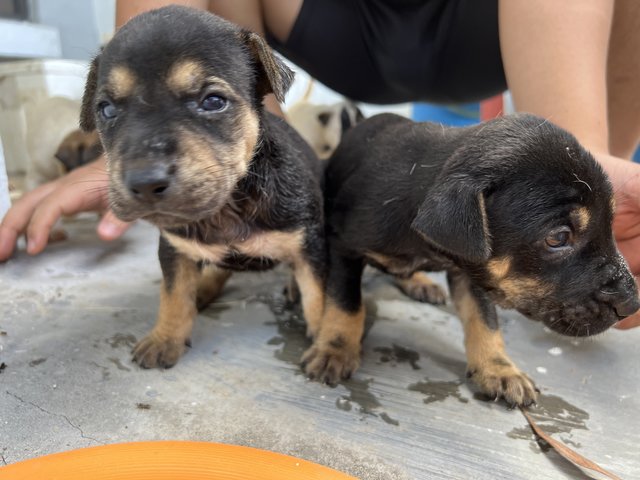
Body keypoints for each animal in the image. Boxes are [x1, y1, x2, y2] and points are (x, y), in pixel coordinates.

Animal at [80, 4, 328, 368]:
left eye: (213, 102)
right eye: (107, 110)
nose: (145, 182)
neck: (229, 205)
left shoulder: (310, 243)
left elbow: (318, 295)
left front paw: (330, 339)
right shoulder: (175, 249)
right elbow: (174, 295)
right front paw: (165, 338)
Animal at [306, 112, 640, 404]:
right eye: (558, 238)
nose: (632, 304)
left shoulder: (471, 271)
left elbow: (485, 320)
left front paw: (499, 368)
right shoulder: (343, 245)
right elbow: (346, 303)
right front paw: (335, 348)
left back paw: (420, 281)